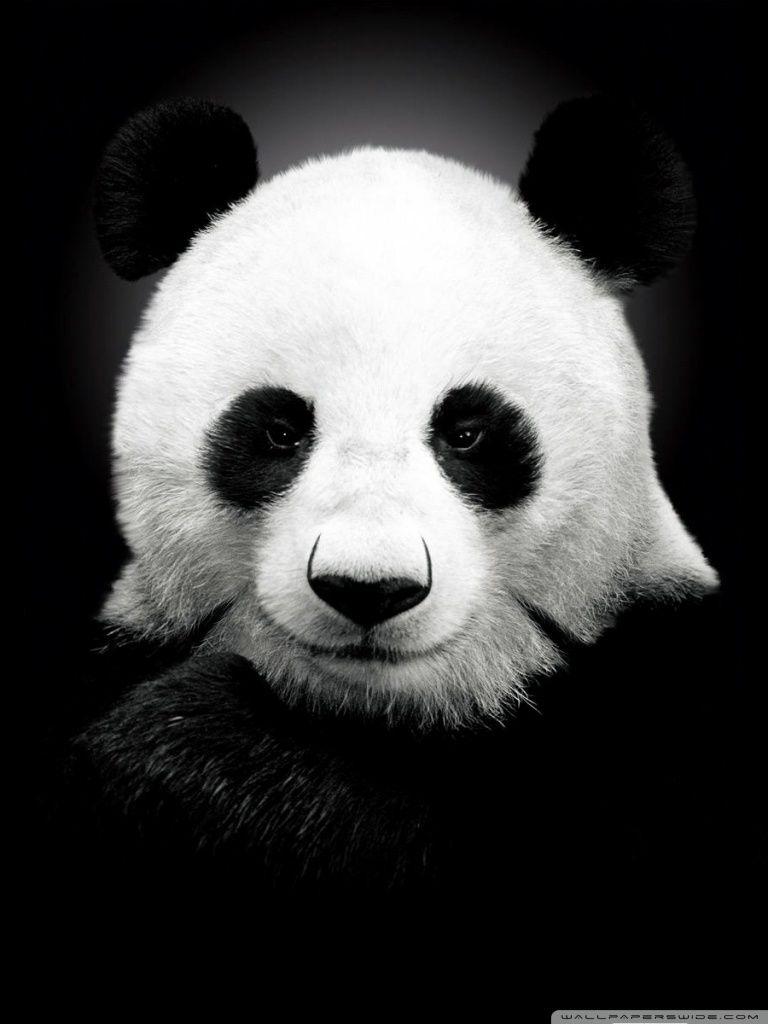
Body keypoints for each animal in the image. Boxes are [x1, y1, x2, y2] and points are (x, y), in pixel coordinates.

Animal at [53, 95, 718, 890]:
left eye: (467, 432)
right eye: (280, 431)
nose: (369, 589)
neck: (376, 716)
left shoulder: (654, 692)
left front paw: (188, 752)